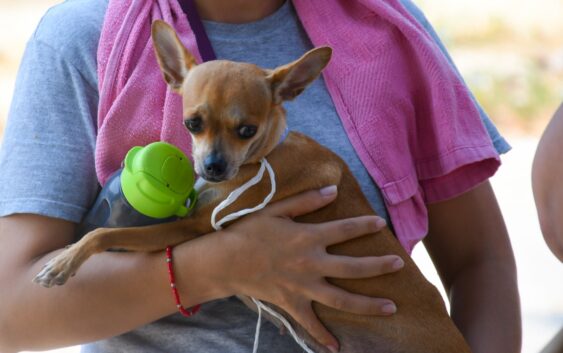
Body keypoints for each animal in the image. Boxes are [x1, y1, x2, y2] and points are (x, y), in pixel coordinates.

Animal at [34, 18, 472, 352]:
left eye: (247, 130)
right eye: (192, 123)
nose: (213, 167)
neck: (264, 157)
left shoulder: (191, 228)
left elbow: (105, 233)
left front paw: (63, 261)